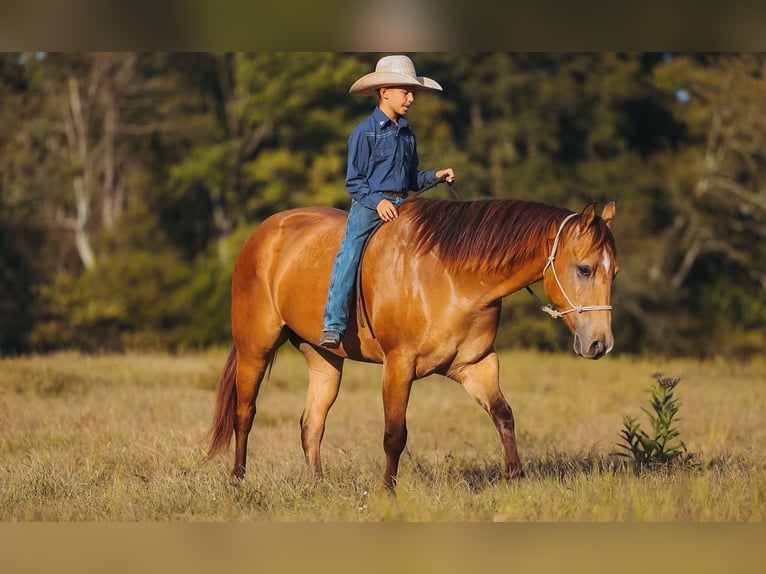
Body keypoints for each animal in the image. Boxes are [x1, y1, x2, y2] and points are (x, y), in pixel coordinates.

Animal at [207, 197, 618, 489]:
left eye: (613, 272)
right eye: (584, 269)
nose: (600, 344)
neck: (451, 276)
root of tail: (263, 232)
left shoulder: (476, 365)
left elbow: (504, 415)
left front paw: (515, 477)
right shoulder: (398, 365)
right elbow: (394, 434)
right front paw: (388, 492)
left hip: (324, 358)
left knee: (312, 423)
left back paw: (317, 487)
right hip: (255, 349)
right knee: (245, 413)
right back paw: (238, 480)